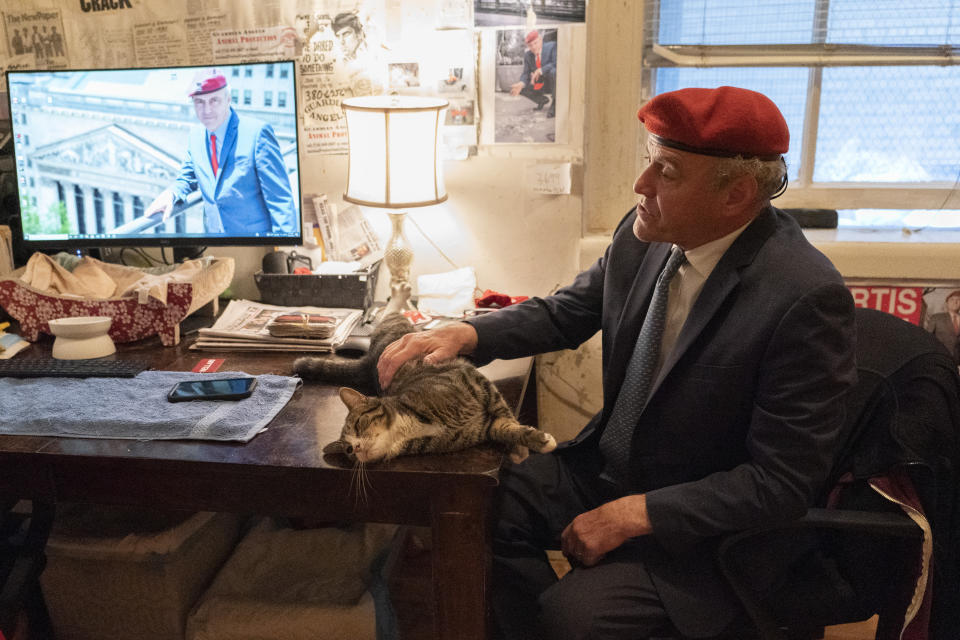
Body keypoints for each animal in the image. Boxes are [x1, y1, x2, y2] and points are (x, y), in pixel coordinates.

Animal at [292, 316, 556, 464]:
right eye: (347, 449)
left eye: (359, 425)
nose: (355, 448)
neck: (412, 427)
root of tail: (369, 361)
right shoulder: (484, 426)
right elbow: (502, 428)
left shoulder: (472, 379)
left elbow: (505, 414)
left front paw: (526, 445)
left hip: (397, 323)